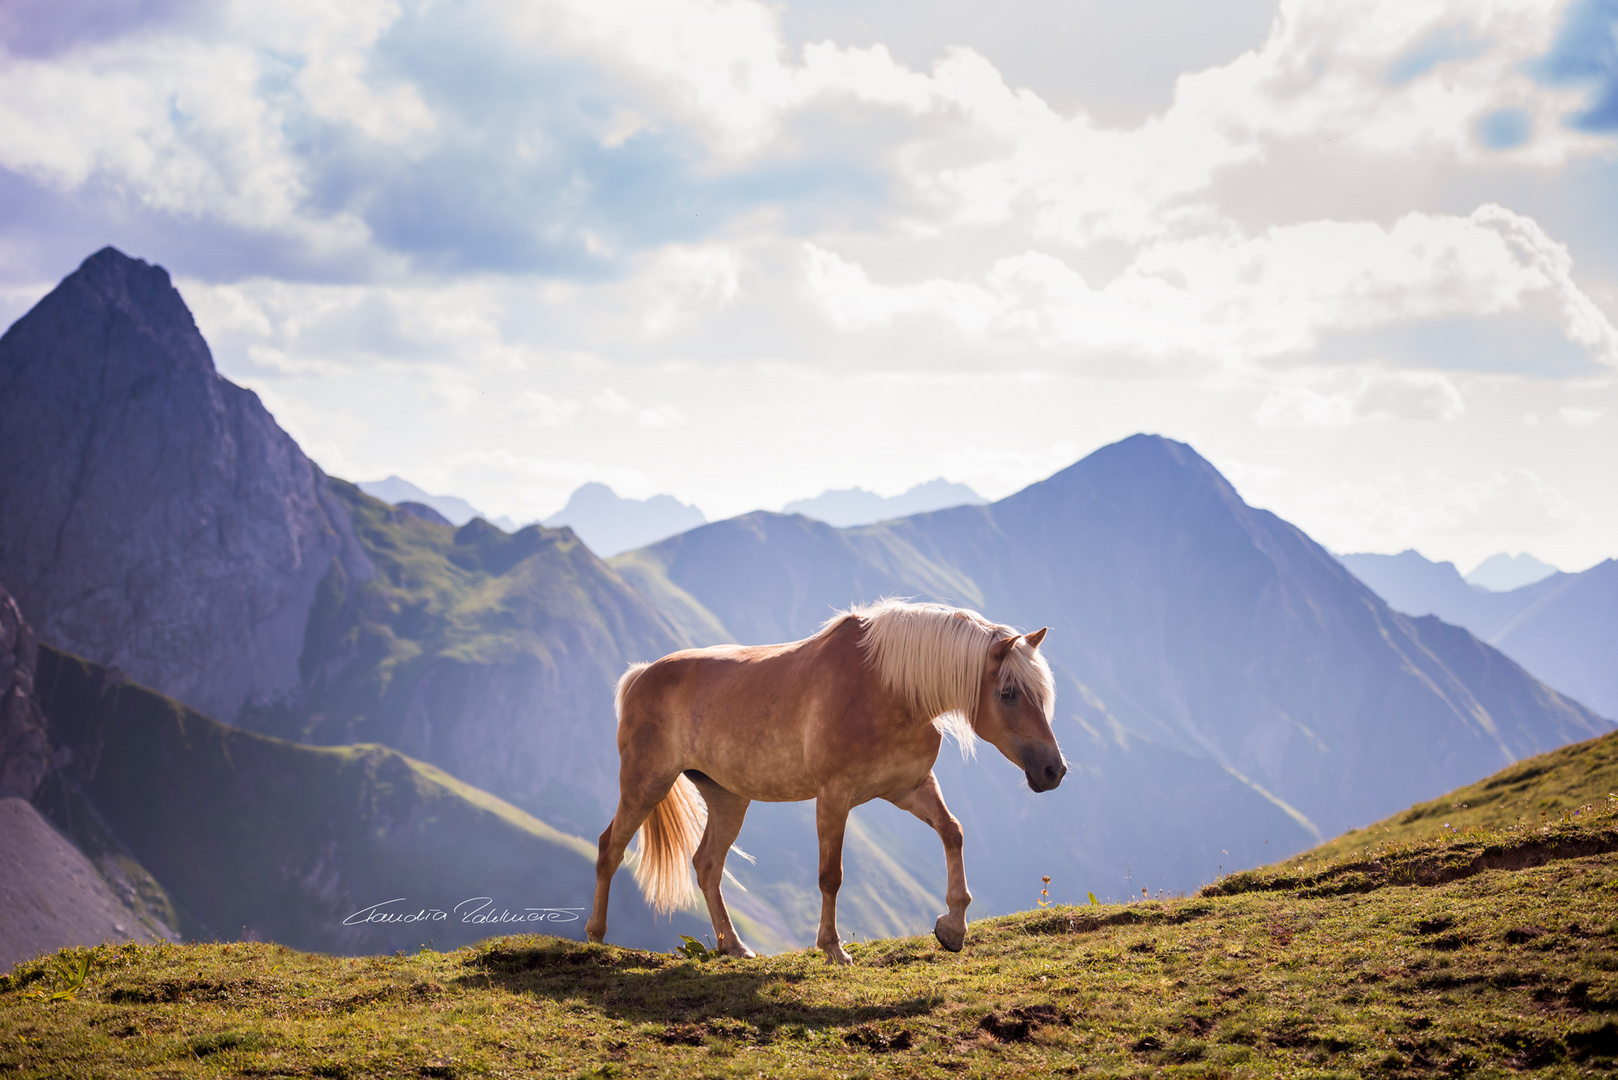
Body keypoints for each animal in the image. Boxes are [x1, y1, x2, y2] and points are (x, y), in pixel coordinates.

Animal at [582, 599, 1061, 965]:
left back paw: (734, 947)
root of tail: (641, 675)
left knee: (706, 865)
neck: (887, 688)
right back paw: (596, 936)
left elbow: (953, 832)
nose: (1053, 771)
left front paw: (953, 927)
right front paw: (833, 948)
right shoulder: (834, 796)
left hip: (727, 798)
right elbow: (831, 875)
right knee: (610, 848)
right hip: (645, 784)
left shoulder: (910, 788)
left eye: (1041, 694)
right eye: (1008, 693)